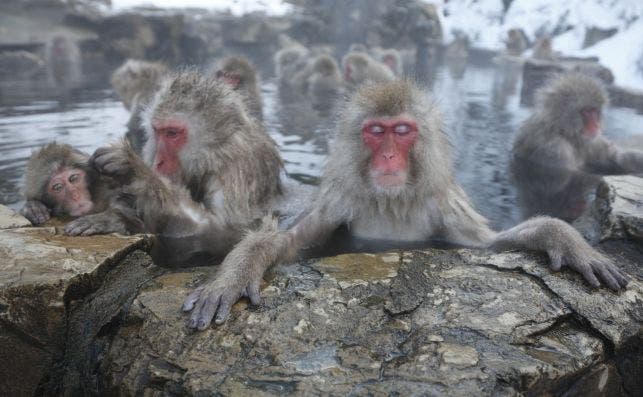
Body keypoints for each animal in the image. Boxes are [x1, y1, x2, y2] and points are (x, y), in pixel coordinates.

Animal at [182, 79, 628, 328]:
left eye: (402, 131)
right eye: (376, 132)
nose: (388, 157)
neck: (392, 201)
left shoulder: (444, 206)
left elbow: (488, 245)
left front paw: (564, 239)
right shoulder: (341, 201)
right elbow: (287, 243)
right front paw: (233, 275)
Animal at [512, 72, 643, 175]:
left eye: (595, 111)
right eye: (586, 112)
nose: (596, 125)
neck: (563, 131)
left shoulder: (589, 141)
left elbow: (612, 156)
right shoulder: (555, 149)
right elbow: (569, 173)